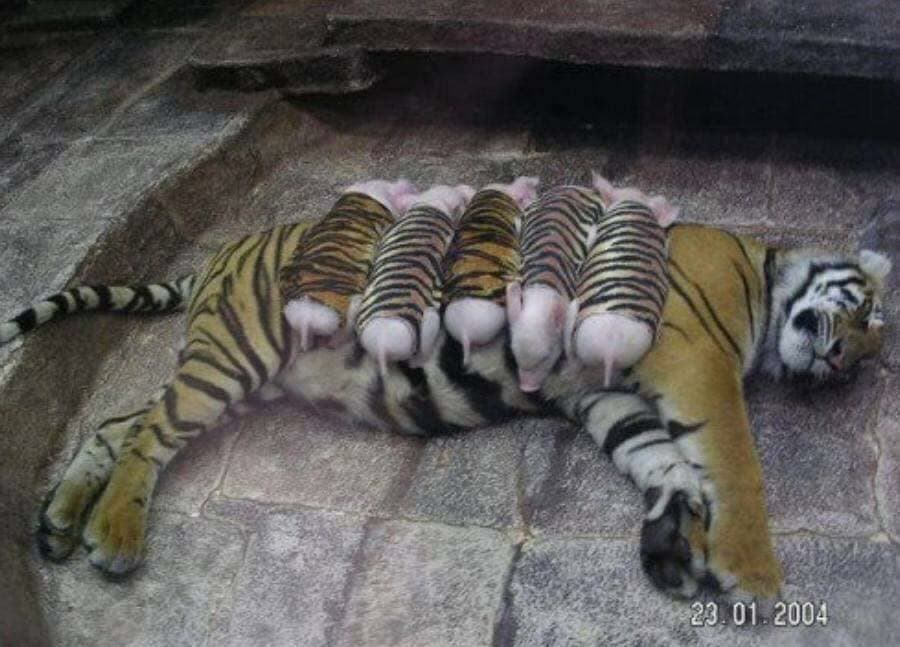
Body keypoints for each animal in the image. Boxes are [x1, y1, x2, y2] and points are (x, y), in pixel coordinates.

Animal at [4, 218, 890, 604]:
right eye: (869, 314)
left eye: (864, 355)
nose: (841, 362)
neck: (766, 277)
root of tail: (229, 248)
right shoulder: (696, 362)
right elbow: (735, 463)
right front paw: (754, 576)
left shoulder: (605, 394)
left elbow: (662, 460)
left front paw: (673, 546)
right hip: (239, 351)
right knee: (150, 434)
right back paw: (113, 535)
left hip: (235, 373)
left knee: (119, 423)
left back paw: (60, 522)